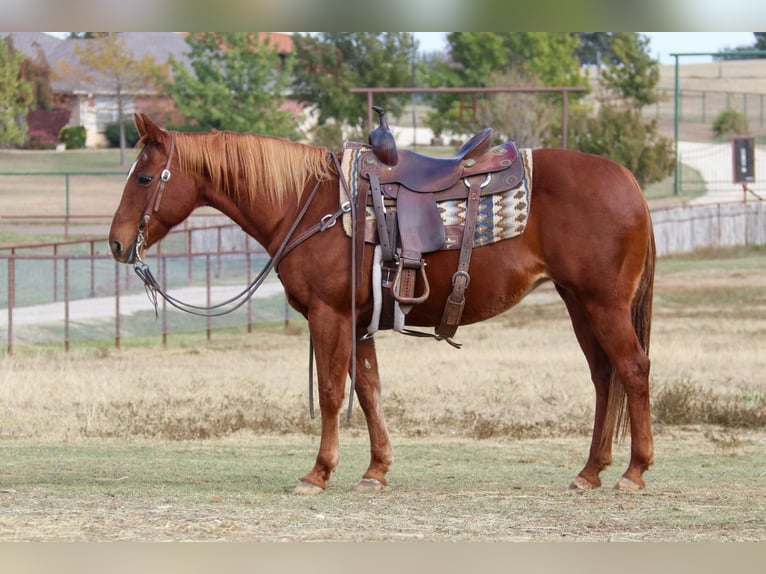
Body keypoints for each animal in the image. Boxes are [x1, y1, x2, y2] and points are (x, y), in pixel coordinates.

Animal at [111, 116, 656, 496]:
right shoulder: (359, 324)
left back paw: (634, 471)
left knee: (632, 369)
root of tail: (629, 181)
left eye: (144, 179)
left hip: (603, 304)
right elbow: (369, 390)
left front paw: (318, 472)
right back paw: (590, 471)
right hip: (579, 303)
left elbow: (332, 392)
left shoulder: (328, 316)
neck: (307, 205)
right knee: (604, 377)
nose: (116, 243)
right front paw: (375, 471)